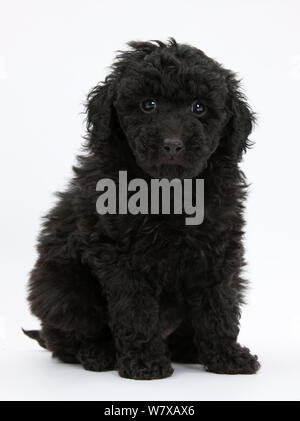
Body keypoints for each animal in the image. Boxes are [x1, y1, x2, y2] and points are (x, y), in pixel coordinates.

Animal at [24, 39, 260, 378]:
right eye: (148, 105)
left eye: (198, 108)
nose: (172, 144)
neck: (168, 190)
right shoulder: (121, 256)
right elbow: (135, 309)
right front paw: (144, 362)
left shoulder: (218, 248)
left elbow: (220, 304)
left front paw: (227, 356)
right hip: (59, 288)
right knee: (68, 337)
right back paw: (98, 354)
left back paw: (188, 349)